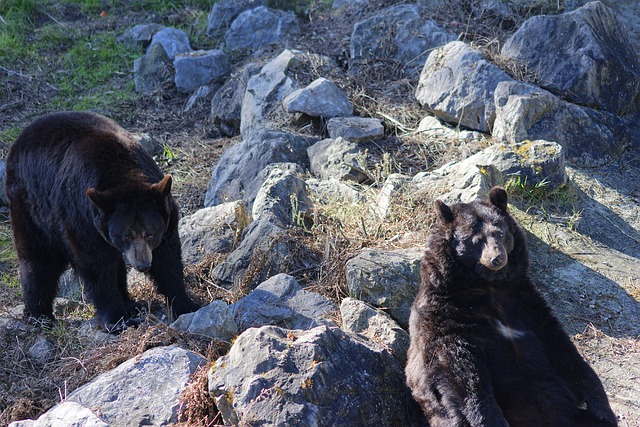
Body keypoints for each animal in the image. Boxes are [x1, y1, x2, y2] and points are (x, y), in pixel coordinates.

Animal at [5, 111, 199, 332]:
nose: (142, 265)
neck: (122, 174)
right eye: (126, 236)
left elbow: (168, 257)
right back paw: (39, 315)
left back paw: (130, 303)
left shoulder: (164, 214)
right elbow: (96, 266)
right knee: (38, 260)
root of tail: (21, 138)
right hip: (31, 207)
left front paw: (185, 304)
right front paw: (116, 319)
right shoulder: (82, 218)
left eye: (150, 233)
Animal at [404, 187, 616, 427]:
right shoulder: (447, 317)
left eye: (500, 233)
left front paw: (601, 405)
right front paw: (489, 418)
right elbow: (461, 373)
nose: (497, 258)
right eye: (476, 239)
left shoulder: (526, 307)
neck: (489, 287)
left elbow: (564, 352)